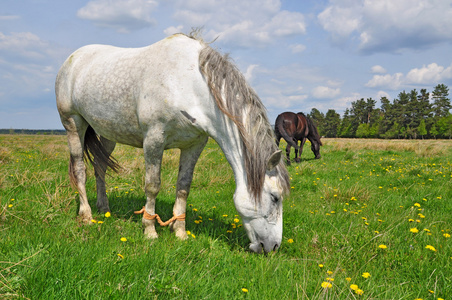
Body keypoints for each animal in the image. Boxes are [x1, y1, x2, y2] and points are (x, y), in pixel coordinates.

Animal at [55, 32, 290, 253]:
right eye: (275, 198)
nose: (273, 247)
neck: (188, 84)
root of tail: (71, 60)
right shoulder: (154, 139)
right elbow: (152, 185)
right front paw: (149, 230)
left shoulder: (194, 145)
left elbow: (183, 186)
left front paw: (179, 232)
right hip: (73, 124)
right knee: (80, 168)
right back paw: (86, 215)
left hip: (107, 133)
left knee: (100, 167)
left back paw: (104, 209)